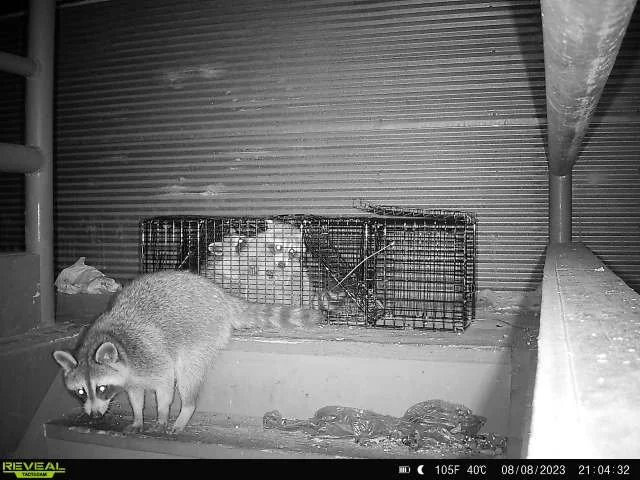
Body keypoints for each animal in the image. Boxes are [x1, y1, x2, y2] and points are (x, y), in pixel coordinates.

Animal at [53, 270, 323, 433]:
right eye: (80, 392)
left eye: (100, 388)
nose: (94, 416)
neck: (110, 339)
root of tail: (221, 297)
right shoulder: (129, 376)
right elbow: (135, 395)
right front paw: (138, 416)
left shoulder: (149, 355)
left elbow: (165, 383)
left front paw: (162, 414)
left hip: (202, 334)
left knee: (187, 375)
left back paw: (186, 409)